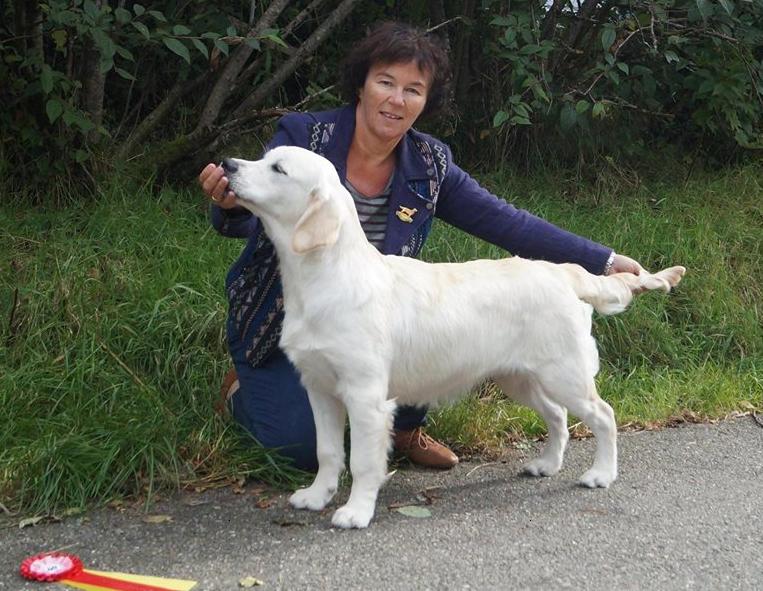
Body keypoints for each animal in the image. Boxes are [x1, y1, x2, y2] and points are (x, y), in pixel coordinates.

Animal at [225, 146, 688, 528]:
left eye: (279, 168)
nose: (227, 165)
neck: (324, 276)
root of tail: (563, 272)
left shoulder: (365, 395)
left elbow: (362, 461)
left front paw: (356, 511)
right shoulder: (320, 387)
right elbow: (327, 451)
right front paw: (316, 496)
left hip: (565, 374)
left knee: (603, 415)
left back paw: (600, 474)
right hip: (519, 377)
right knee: (557, 416)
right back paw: (546, 465)